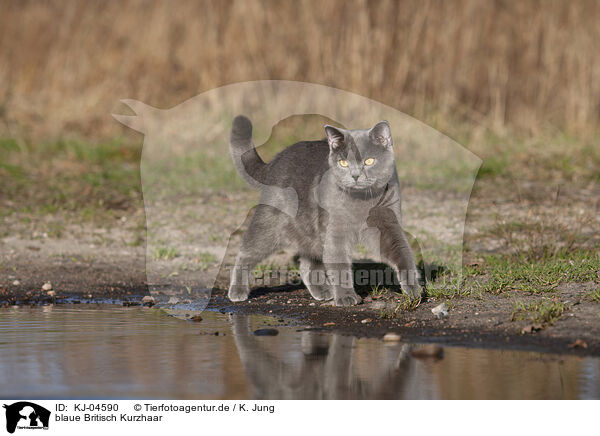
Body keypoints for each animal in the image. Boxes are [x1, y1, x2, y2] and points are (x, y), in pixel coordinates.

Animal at [227, 116, 420, 306]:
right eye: (343, 162)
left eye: (369, 161)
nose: (355, 175)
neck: (362, 202)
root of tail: (276, 159)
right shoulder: (335, 230)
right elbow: (339, 263)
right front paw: (345, 297)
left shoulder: (387, 225)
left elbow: (401, 251)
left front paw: (413, 289)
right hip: (270, 222)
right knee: (247, 252)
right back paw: (237, 291)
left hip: (310, 231)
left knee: (307, 265)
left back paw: (323, 291)